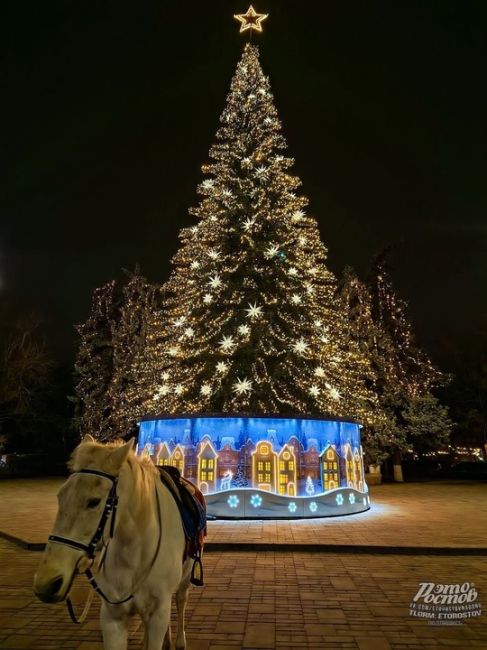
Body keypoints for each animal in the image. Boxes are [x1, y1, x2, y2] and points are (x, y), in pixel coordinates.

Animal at [33, 432, 194, 648]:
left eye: (94, 501)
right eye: (60, 496)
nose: (46, 583)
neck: (135, 553)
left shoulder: (158, 614)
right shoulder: (112, 618)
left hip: (185, 579)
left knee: (181, 600)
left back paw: (179, 641)